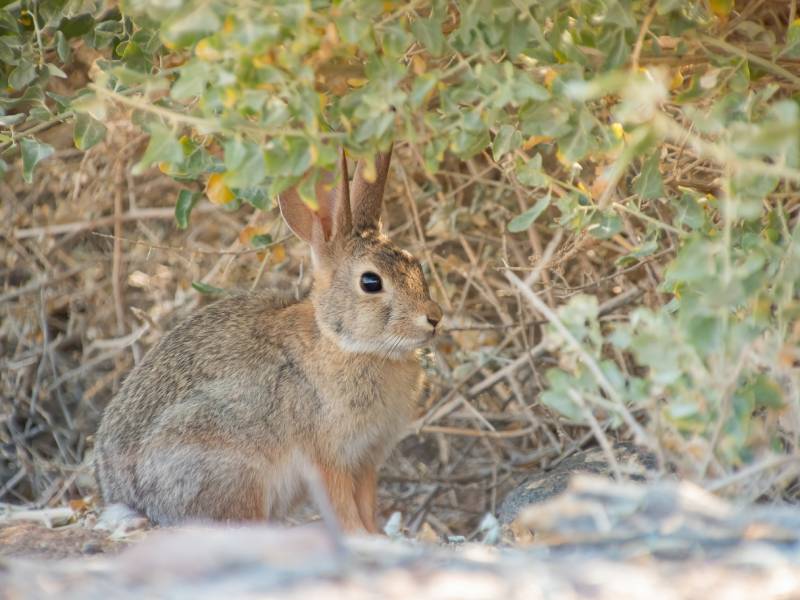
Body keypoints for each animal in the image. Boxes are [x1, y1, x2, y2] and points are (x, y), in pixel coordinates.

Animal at [95, 148, 444, 532]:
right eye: (371, 282)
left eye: (415, 264)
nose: (434, 317)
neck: (344, 343)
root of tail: (128, 500)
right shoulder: (327, 458)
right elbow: (342, 506)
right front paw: (359, 535)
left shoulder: (366, 460)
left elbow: (367, 504)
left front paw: (377, 535)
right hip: (229, 463)